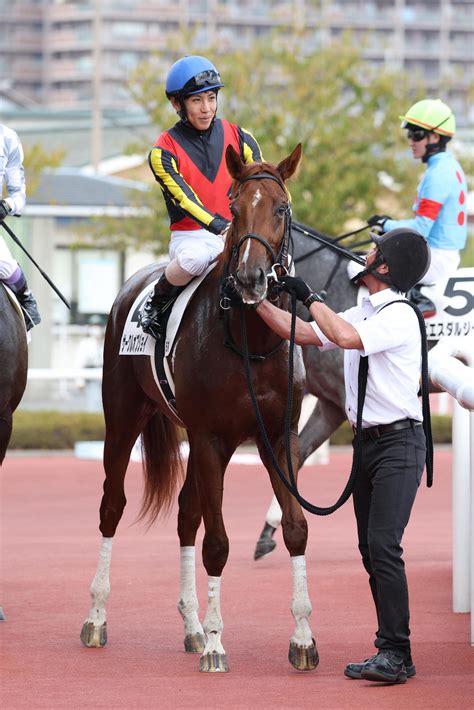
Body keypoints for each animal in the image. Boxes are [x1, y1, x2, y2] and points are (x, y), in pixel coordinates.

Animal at [81, 143, 318, 672]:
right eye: (235, 207)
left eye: (281, 208)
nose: (251, 278)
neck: (251, 342)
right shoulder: (210, 438)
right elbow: (218, 542)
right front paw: (215, 644)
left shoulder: (279, 438)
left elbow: (295, 527)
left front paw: (302, 639)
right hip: (123, 420)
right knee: (111, 506)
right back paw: (97, 619)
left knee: (187, 514)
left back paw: (189, 625)